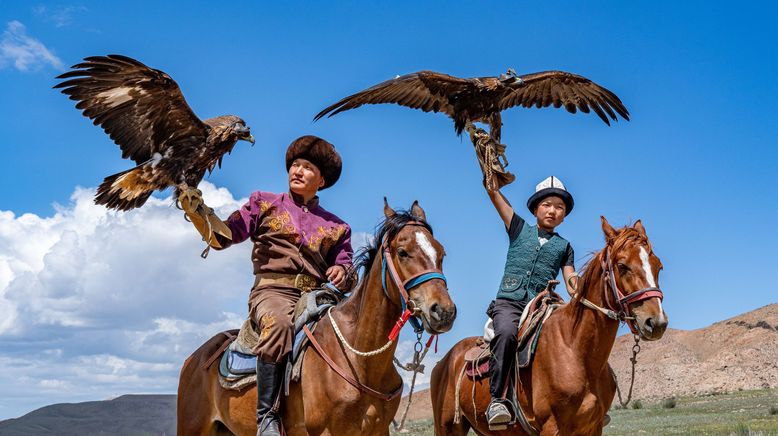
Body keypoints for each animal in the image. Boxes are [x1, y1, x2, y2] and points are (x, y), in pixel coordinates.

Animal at [177, 201, 458, 436]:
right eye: (402, 252)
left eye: (442, 253)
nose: (443, 311)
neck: (358, 358)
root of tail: (193, 359)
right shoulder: (324, 432)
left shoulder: (378, 431)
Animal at [430, 218, 668, 436]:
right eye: (622, 266)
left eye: (659, 266)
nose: (656, 322)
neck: (576, 350)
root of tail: (445, 362)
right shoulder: (551, 427)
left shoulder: (594, 426)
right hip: (447, 427)